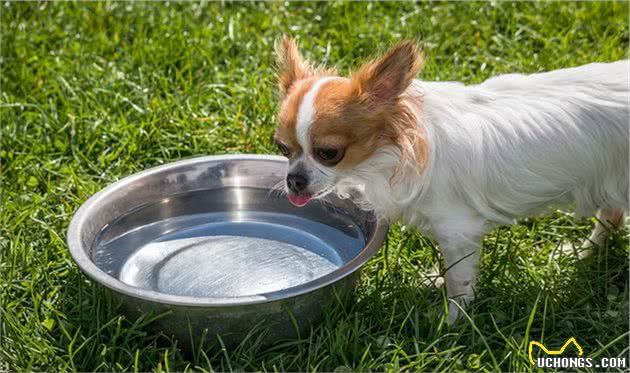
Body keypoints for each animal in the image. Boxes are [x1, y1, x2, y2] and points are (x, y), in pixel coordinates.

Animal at [274, 38, 628, 322]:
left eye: (329, 153)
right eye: (282, 148)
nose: (294, 180)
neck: (390, 152)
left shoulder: (457, 230)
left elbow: (460, 279)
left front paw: (452, 320)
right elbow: (450, 272)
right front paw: (438, 286)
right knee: (611, 215)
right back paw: (582, 253)